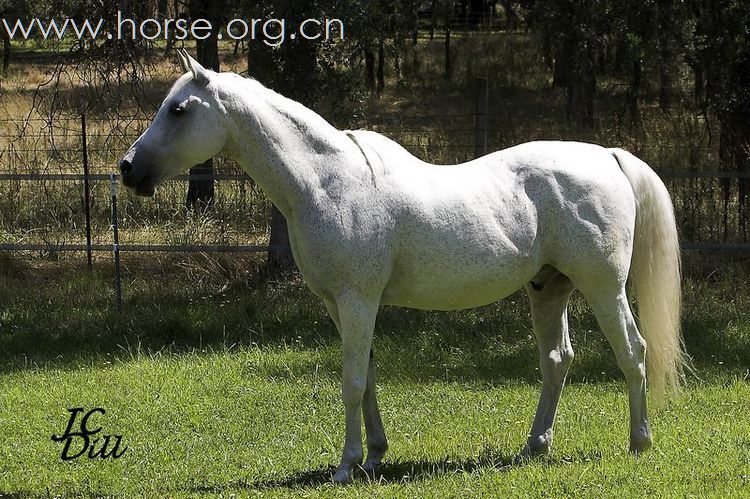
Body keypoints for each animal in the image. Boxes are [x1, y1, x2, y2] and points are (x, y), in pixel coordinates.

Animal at [119, 50, 688, 484]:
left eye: (178, 109)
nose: (128, 169)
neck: (327, 182)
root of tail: (608, 155)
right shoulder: (340, 306)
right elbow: (367, 375)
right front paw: (373, 455)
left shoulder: (358, 300)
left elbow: (351, 381)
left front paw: (345, 466)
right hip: (549, 289)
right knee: (556, 360)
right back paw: (535, 446)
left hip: (603, 287)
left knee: (633, 352)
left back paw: (639, 442)